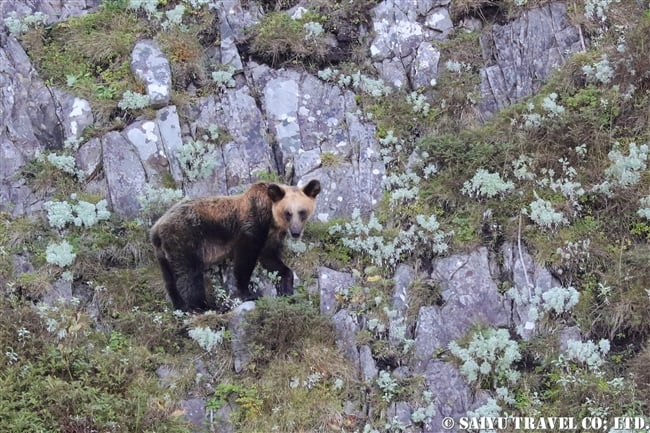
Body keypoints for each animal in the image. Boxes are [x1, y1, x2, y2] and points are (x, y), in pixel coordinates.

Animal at [147, 179, 318, 310]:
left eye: (302, 212)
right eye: (288, 213)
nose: (295, 232)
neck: (271, 219)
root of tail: (156, 229)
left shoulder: (271, 237)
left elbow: (270, 258)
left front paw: (287, 287)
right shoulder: (252, 225)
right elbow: (245, 259)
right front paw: (248, 293)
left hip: (163, 255)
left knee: (170, 280)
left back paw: (180, 305)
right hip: (184, 240)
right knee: (189, 275)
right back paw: (205, 306)